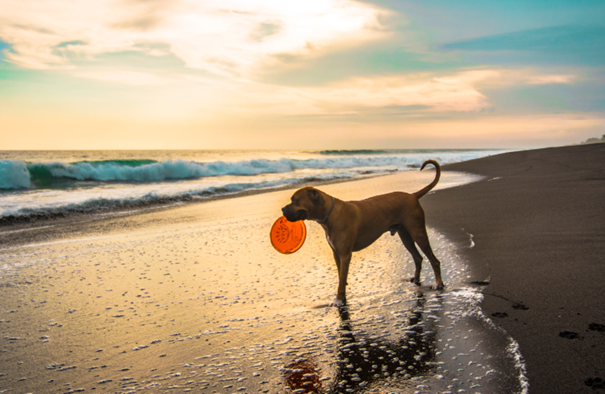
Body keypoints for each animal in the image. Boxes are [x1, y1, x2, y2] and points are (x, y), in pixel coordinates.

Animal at [280, 159, 444, 306]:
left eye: (294, 201)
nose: (282, 209)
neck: (329, 214)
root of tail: (412, 195)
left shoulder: (345, 255)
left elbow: (342, 279)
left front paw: (338, 300)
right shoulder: (337, 254)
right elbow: (341, 276)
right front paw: (342, 295)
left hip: (418, 232)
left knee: (434, 260)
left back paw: (438, 283)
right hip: (405, 235)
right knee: (418, 257)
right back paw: (416, 278)